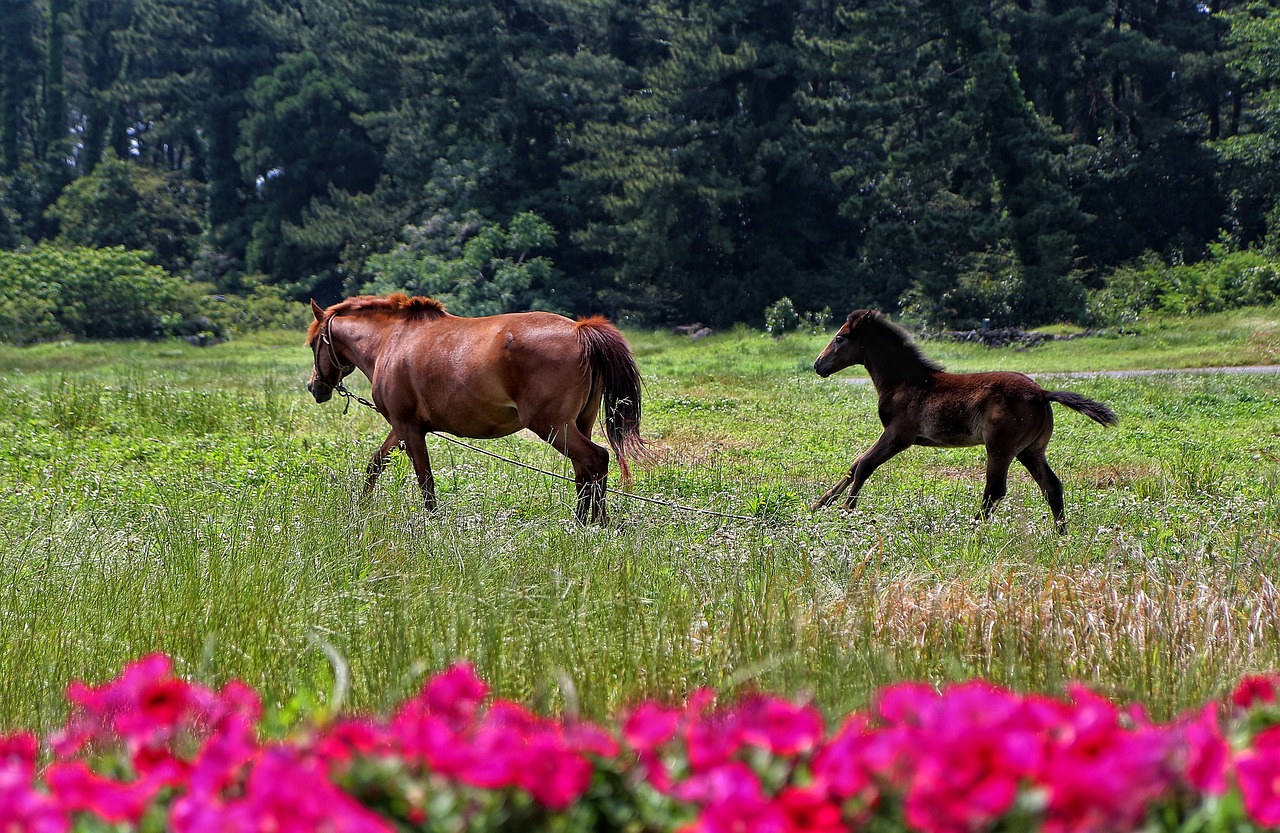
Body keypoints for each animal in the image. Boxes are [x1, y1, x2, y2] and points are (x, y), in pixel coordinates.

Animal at [305, 296, 645, 524]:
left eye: (313, 344)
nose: (315, 387)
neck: (392, 340)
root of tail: (579, 329)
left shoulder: (409, 428)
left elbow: (425, 481)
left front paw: (433, 522)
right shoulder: (401, 428)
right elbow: (376, 464)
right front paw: (361, 507)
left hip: (552, 426)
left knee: (596, 459)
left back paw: (594, 524)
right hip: (578, 423)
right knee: (584, 471)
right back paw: (584, 522)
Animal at [814, 309, 1116, 532]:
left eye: (840, 338)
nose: (818, 365)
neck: (904, 381)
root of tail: (1042, 393)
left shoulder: (900, 434)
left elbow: (865, 465)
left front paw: (846, 510)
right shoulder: (895, 435)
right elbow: (855, 465)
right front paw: (820, 504)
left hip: (1001, 447)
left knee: (995, 490)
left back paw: (971, 529)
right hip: (1031, 450)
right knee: (1051, 486)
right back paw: (1060, 533)